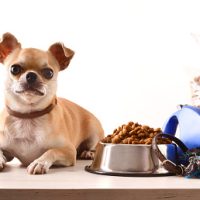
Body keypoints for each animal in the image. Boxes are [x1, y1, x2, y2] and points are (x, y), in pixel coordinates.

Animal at [0, 32, 104, 173]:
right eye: (14, 69)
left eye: (49, 73)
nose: (31, 75)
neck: (28, 116)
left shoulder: (68, 151)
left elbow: (51, 151)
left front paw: (39, 162)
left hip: (93, 132)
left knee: (93, 145)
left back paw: (88, 152)